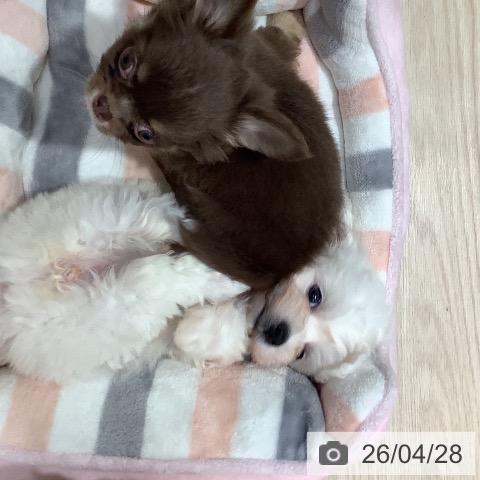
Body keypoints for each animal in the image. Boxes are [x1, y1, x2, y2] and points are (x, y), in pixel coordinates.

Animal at [85, 0, 344, 290]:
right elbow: (278, 36)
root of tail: (283, 270)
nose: (101, 105)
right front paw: (287, 22)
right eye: (126, 60)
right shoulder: (264, 45)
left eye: (146, 134)